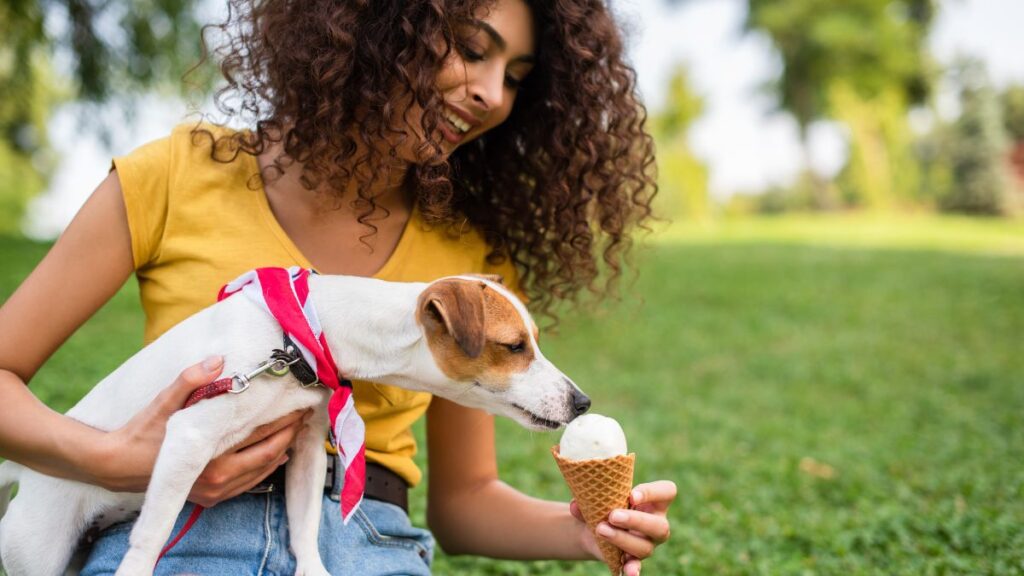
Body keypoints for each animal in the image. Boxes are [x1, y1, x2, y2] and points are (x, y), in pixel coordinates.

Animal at [0, 270, 593, 573]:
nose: (582, 401)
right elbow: (150, 535)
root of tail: (28, 476)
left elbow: (304, 525)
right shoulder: (187, 437)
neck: (299, 339)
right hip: (40, 551)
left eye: (532, 342)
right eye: (514, 346)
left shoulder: (306, 448)